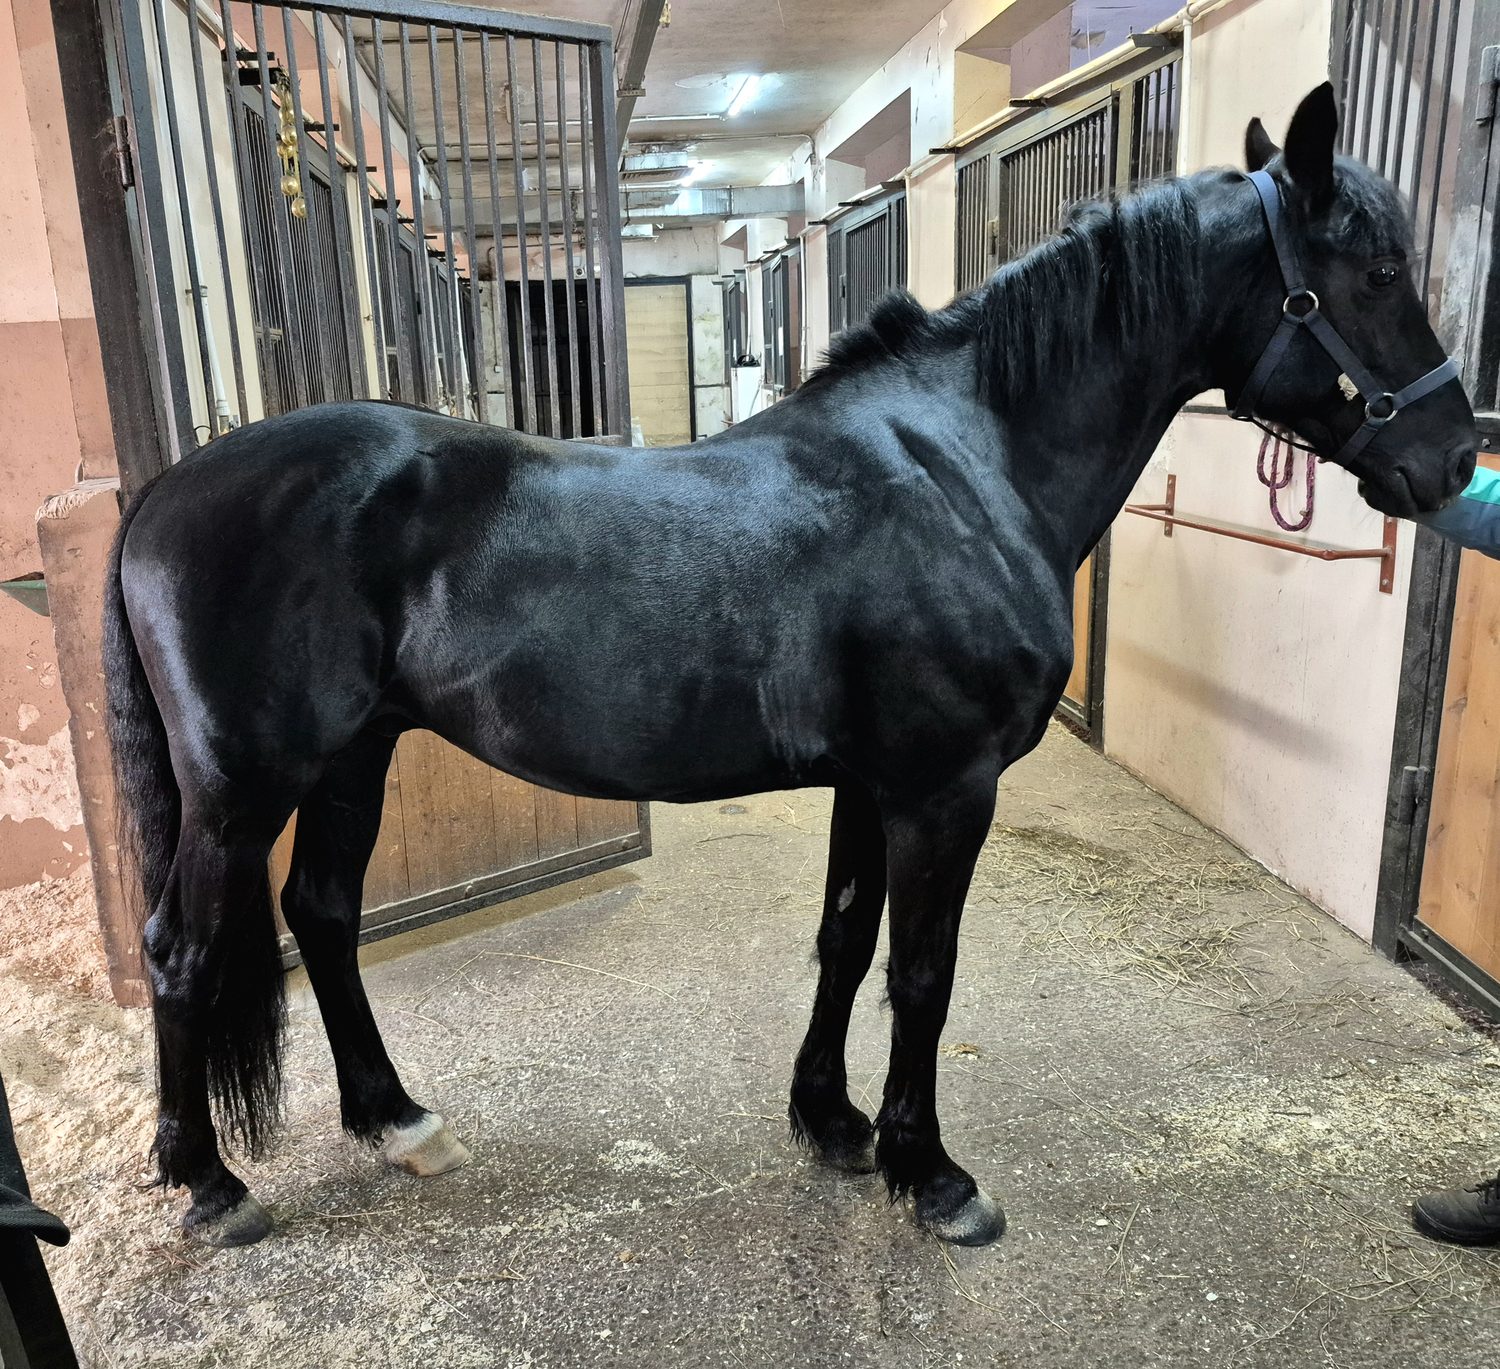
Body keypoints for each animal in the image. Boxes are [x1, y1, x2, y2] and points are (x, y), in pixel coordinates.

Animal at [103, 84, 1476, 1248]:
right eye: (1374, 272)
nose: (1454, 461)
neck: (962, 468)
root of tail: (164, 489)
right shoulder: (945, 788)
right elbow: (923, 971)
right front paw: (935, 1173)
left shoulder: (874, 785)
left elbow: (847, 940)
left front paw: (834, 1122)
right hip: (242, 787)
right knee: (181, 948)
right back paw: (211, 1183)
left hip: (354, 756)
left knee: (324, 915)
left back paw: (395, 1119)